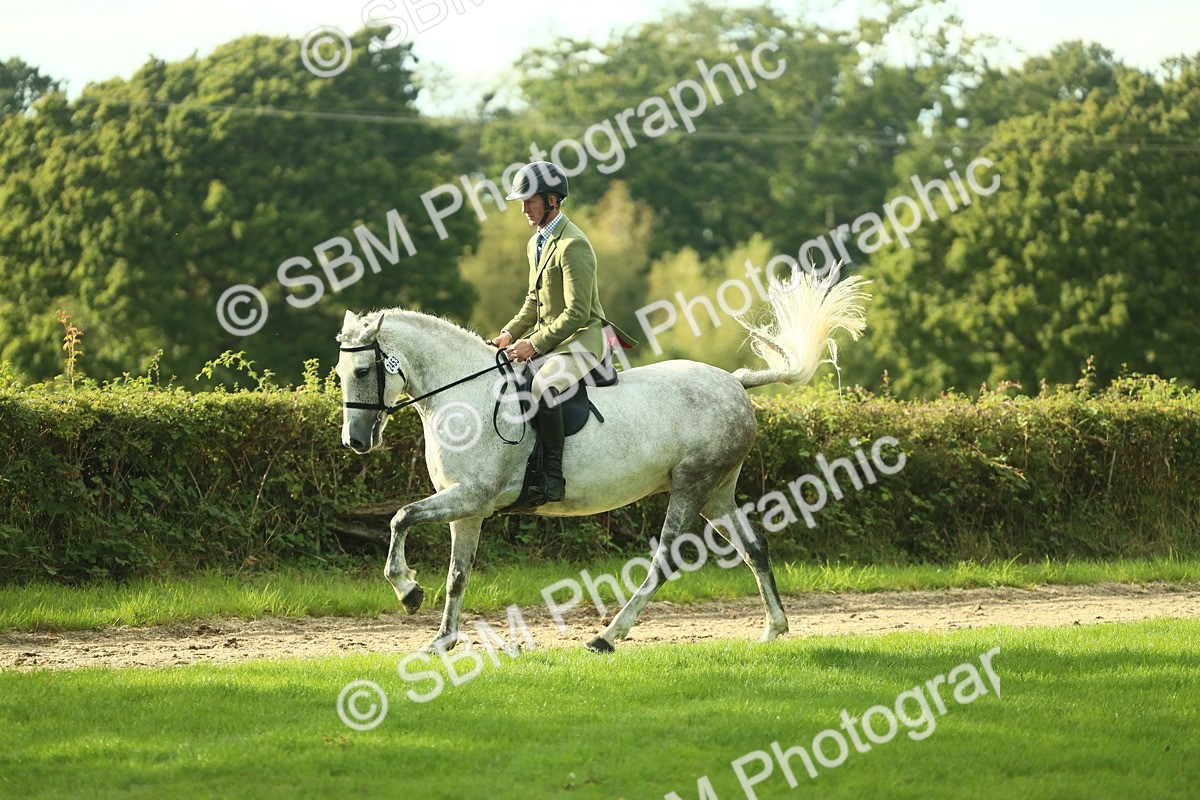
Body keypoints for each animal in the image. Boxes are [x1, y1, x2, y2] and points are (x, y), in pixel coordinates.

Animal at [335, 272, 870, 652]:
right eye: (340, 372)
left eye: (362, 370)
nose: (355, 442)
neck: (465, 396)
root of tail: (734, 382)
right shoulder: (466, 508)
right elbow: (456, 576)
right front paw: (440, 640)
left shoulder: (472, 497)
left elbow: (401, 517)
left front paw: (407, 591)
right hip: (716, 491)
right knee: (754, 547)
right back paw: (774, 629)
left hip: (691, 486)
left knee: (665, 560)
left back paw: (607, 636)